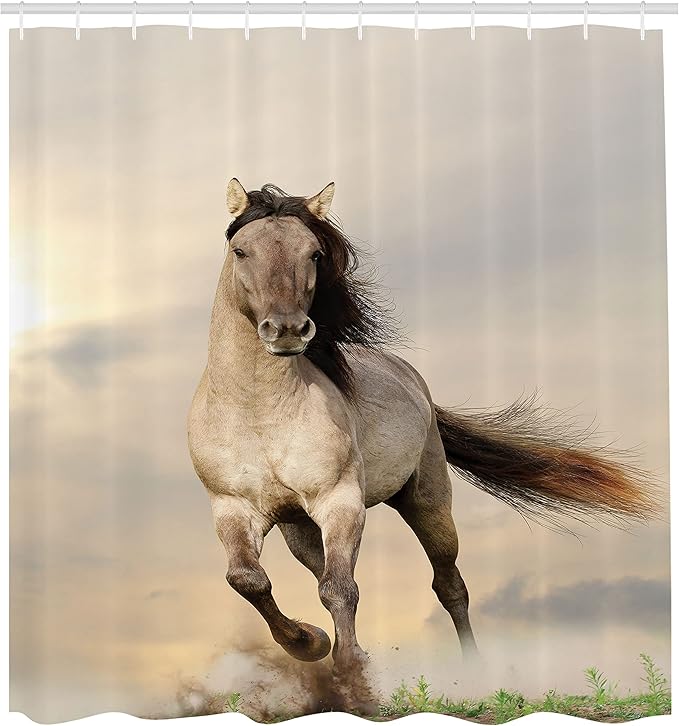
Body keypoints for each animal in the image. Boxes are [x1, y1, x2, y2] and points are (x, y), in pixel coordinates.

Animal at [187, 179, 656, 675]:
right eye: (241, 251)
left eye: (314, 253)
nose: (288, 330)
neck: (258, 412)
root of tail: (416, 384)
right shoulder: (233, 508)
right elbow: (248, 580)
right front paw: (309, 642)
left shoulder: (340, 500)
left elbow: (340, 588)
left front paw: (350, 669)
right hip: (299, 527)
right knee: (320, 573)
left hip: (427, 503)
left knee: (448, 585)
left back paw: (472, 670)